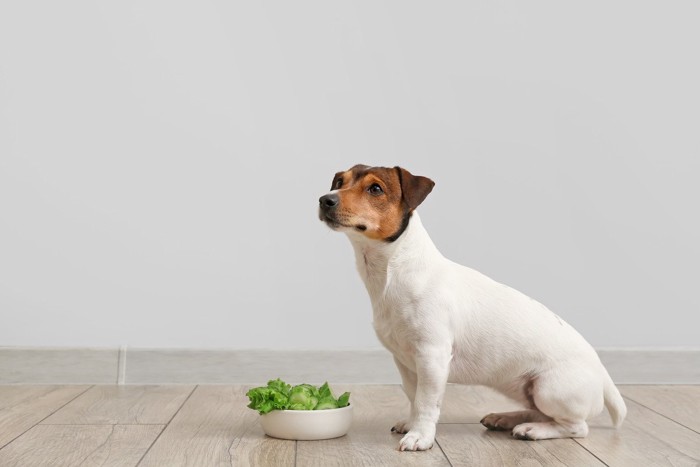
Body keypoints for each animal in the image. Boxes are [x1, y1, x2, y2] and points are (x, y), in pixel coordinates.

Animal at [320, 165, 628, 454]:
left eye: (375, 189)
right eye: (339, 181)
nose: (325, 199)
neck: (393, 271)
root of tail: (602, 372)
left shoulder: (432, 357)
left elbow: (426, 402)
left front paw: (421, 437)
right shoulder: (405, 361)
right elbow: (413, 397)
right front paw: (412, 424)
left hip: (549, 389)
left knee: (576, 426)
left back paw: (533, 430)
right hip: (526, 389)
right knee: (542, 413)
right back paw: (507, 418)